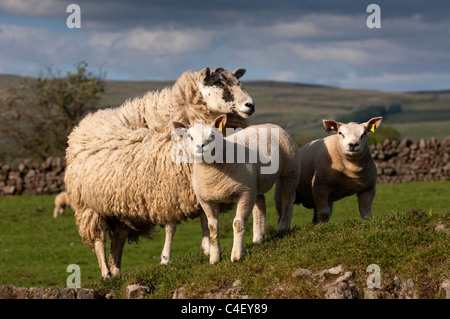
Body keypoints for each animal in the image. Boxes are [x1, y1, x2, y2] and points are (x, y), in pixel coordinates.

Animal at [65, 67, 258, 278]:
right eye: (218, 83)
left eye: (237, 81)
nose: (250, 105)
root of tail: (83, 124)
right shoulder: (167, 189)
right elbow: (171, 227)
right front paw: (166, 259)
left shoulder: (194, 185)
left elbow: (204, 216)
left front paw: (207, 248)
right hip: (88, 207)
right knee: (99, 239)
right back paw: (106, 273)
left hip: (118, 207)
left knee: (118, 238)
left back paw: (116, 272)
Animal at [174, 115, 300, 264]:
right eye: (190, 136)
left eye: (212, 135)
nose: (201, 147)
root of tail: (270, 124)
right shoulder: (207, 201)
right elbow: (213, 228)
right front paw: (214, 258)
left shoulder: (244, 193)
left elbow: (238, 223)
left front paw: (236, 255)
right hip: (254, 184)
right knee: (260, 204)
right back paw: (258, 237)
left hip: (290, 169)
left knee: (288, 198)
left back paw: (283, 227)